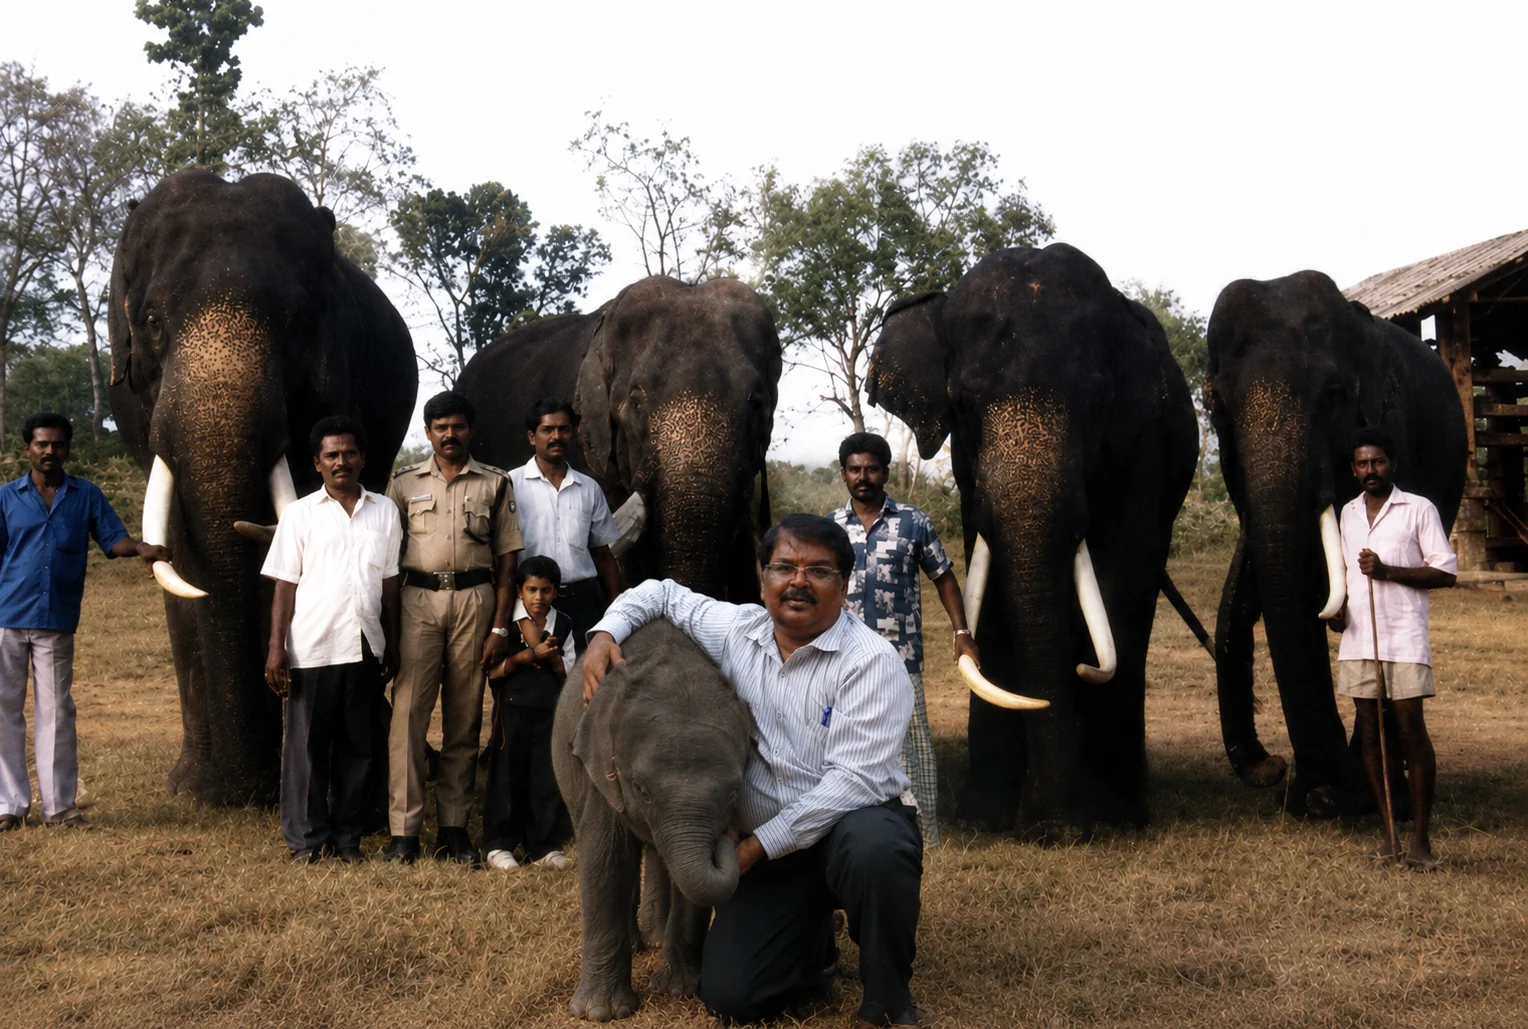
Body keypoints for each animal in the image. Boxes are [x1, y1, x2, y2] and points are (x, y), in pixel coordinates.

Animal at [552, 620, 754, 1022]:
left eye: (732, 794)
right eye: (640, 789)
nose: (729, 837)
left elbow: (690, 884)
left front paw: (681, 989)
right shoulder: (602, 769)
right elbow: (605, 857)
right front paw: (599, 1014)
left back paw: (656, 939)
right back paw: (639, 944)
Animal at [867, 243, 1199, 839]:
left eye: (1097, 402)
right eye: (962, 404)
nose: (1054, 830)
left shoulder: (1145, 446)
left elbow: (1122, 576)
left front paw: (1109, 819)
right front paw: (986, 817)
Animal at [1206, 270, 1465, 816]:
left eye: (1333, 394)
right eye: (1217, 405)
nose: (1271, 764)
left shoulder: (1395, 421)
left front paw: (1348, 796)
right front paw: (1317, 795)